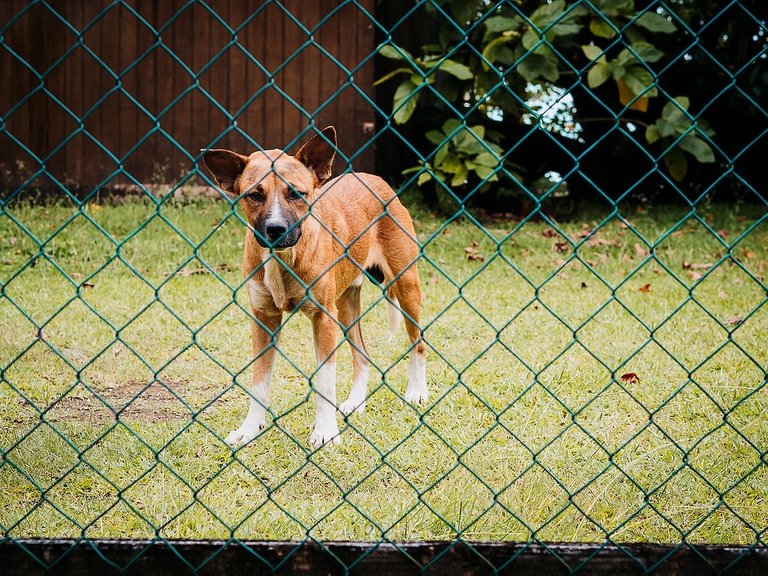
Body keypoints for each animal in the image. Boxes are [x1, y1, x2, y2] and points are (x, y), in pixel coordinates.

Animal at [202, 128, 426, 448]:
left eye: (296, 193)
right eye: (254, 195)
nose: (275, 230)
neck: (283, 259)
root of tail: (374, 179)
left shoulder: (323, 319)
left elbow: (325, 382)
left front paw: (326, 432)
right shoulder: (264, 319)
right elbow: (259, 383)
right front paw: (249, 429)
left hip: (405, 287)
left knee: (417, 342)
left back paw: (417, 392)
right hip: (345, 307)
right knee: (363, 355)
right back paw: (356, 402)